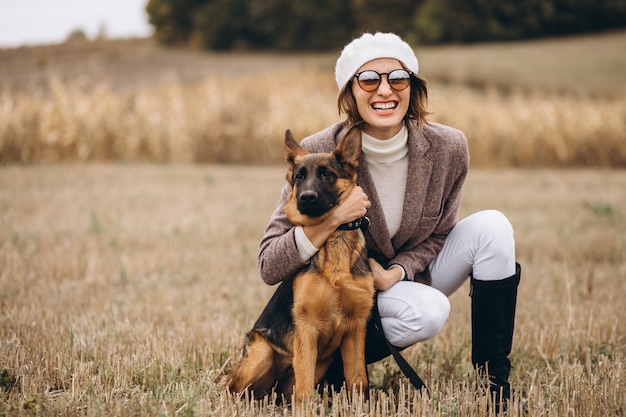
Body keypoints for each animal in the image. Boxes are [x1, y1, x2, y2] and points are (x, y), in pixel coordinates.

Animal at [223, 127, 370, 404]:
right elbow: (304, 391)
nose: (306, 198)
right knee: (230, 389)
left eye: (327, 174)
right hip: (262, 354)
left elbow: (358, 381)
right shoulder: (307, 330)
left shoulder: (355, 330)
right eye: (300, 177)